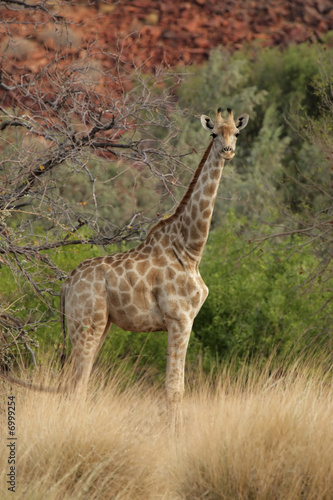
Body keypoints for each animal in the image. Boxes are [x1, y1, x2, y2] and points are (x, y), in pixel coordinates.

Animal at [59, 108, 248, 426]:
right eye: (213, 134)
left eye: (236, 133)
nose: (228, 151)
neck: (190, 250)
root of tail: (67, 283)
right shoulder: (180, 318)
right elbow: (174, 389)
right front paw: (174, 432)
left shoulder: (184, 320)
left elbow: (175, 387)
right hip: (86, 323)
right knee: (76, 383)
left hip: (101, 324)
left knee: (76, 382)